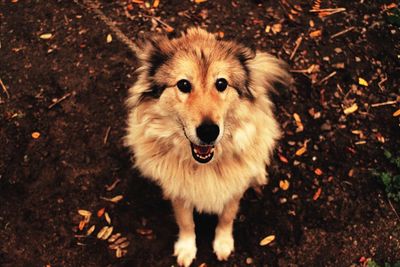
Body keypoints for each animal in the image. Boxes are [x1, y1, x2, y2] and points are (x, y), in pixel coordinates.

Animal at [123, 28, 290, 266]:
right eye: (183, 85)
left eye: (221, 84)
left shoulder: (234, 189)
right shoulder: (180, 192)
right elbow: (185, 222)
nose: (209, 131)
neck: (205, 165)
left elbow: (227, 217)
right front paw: (186, 248)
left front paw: (223, 243)